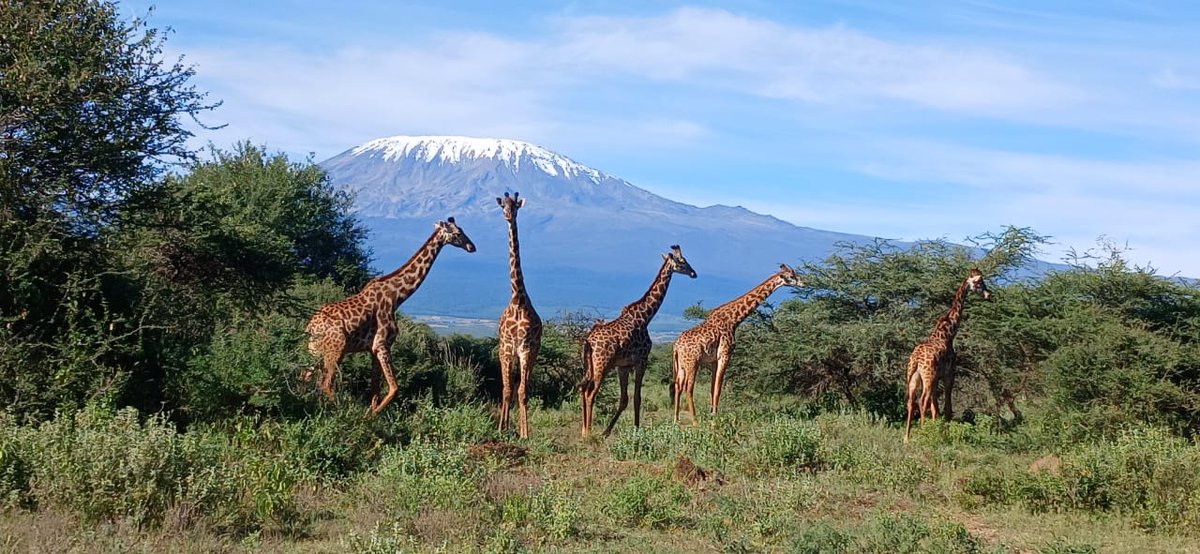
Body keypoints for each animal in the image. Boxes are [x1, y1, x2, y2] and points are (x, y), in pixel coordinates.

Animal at [303, 217, 476, 414]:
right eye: (458, 233)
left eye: (462, 229)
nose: (472, 247)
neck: (396, 297)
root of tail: (310, 328)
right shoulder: (383, 344)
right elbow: (394, 388)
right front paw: (371, 416)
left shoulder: (373, 349)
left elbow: (375, 390)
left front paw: (371, 412)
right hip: (336, 350)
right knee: (325, 384)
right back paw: (343, 411)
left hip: (315, 351)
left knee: (305, 377)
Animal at [578, 245, 697, 438]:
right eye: (682, 262)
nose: (694, 273)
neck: (645, 317)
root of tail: (589, 342)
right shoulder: (642, 360)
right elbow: (637, 398)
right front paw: (637, 429)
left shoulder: (624, 366)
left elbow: (625, 399)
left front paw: (608, 431)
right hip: (602, 365)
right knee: (590, 393)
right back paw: (588, 433)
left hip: (590, 365)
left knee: (583, 389)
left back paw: (584, 429)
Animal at [672, 264, 805, 425]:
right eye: (792, 276)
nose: (804, 282)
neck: (734, 320)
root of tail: (676, 346)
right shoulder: (725, 354)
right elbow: (718, 389)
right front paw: (715, 419)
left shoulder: (714, 360)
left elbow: (712, 388)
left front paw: (712, 415)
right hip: (693, 362)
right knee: (688, 388)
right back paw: (695, 422)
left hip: (681, 365)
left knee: (678, 386)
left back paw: (675, 420)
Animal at [903, 268, 991, 442]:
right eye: (979, 282)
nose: (988, 294)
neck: (948, 333)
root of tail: (916, 360)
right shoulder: (949, 374)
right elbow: (947, 407)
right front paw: (942, 433)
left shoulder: (937, 377)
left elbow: (935, 407)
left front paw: (937, 430)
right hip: (928, 376)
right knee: (922, 401)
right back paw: (923, 433)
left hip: (914, 376)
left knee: (911, 402)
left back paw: (906, 438)